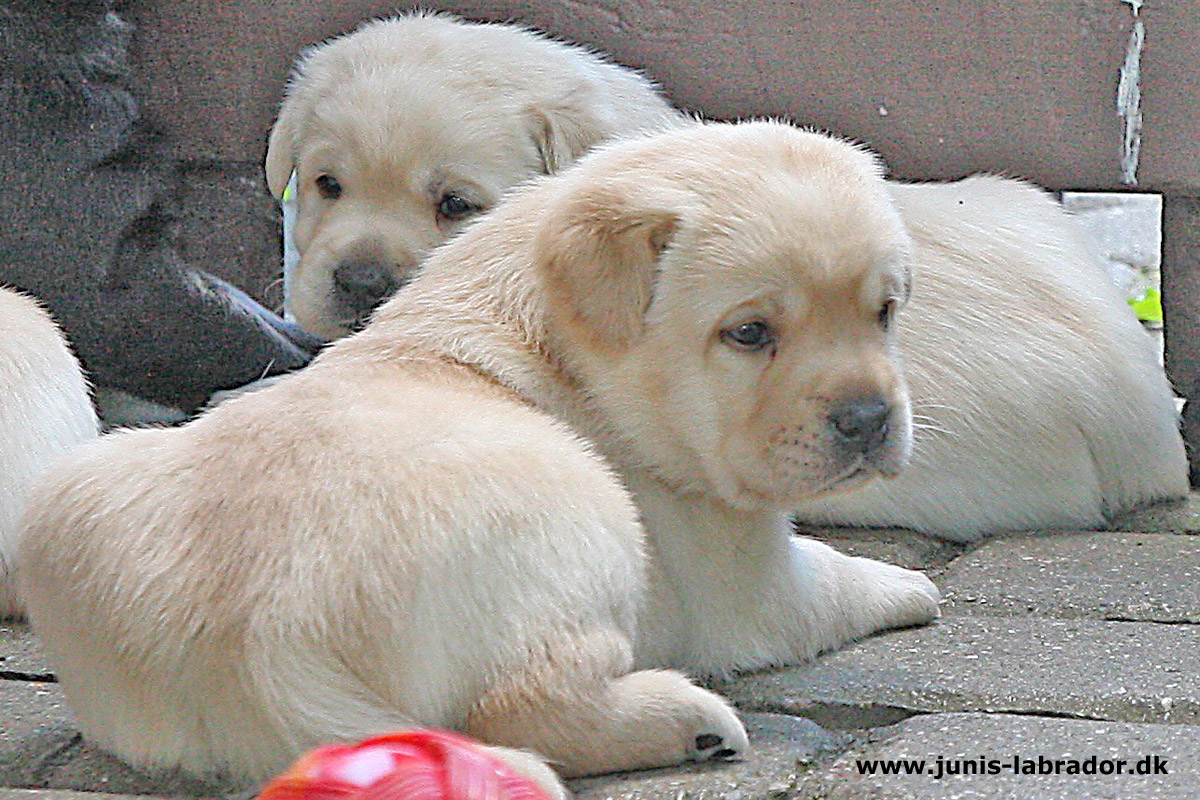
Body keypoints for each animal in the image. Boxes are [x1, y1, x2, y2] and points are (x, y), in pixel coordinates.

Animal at [16, 123, 936, 796]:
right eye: (749, 333)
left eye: (885, 312)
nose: (869, 419)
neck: (565, 343)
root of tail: (262, 644)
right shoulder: (743, 578)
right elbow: (827, 581)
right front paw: (910, 586)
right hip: (579, 498)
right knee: (520, 704)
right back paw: (684, 720)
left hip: (81, 486)